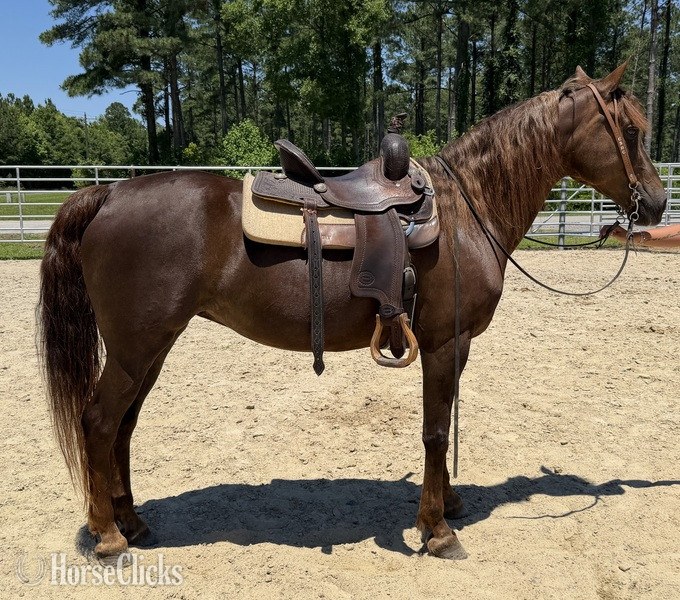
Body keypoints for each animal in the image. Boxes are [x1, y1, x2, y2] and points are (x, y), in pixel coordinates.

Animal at [38, 62, 666, 560]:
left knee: (123, 426)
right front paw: (437, 529)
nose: (658, 203)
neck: (467, 209)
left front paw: (449, 503)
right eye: (632, 131)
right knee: (99, 422)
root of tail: (110, 194)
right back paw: (108, 537)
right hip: (134, 347)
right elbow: (435, 431)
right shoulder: (444, 342)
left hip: (152, 347)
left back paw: (133, 522)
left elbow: (443, 425)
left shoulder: (454, 346)